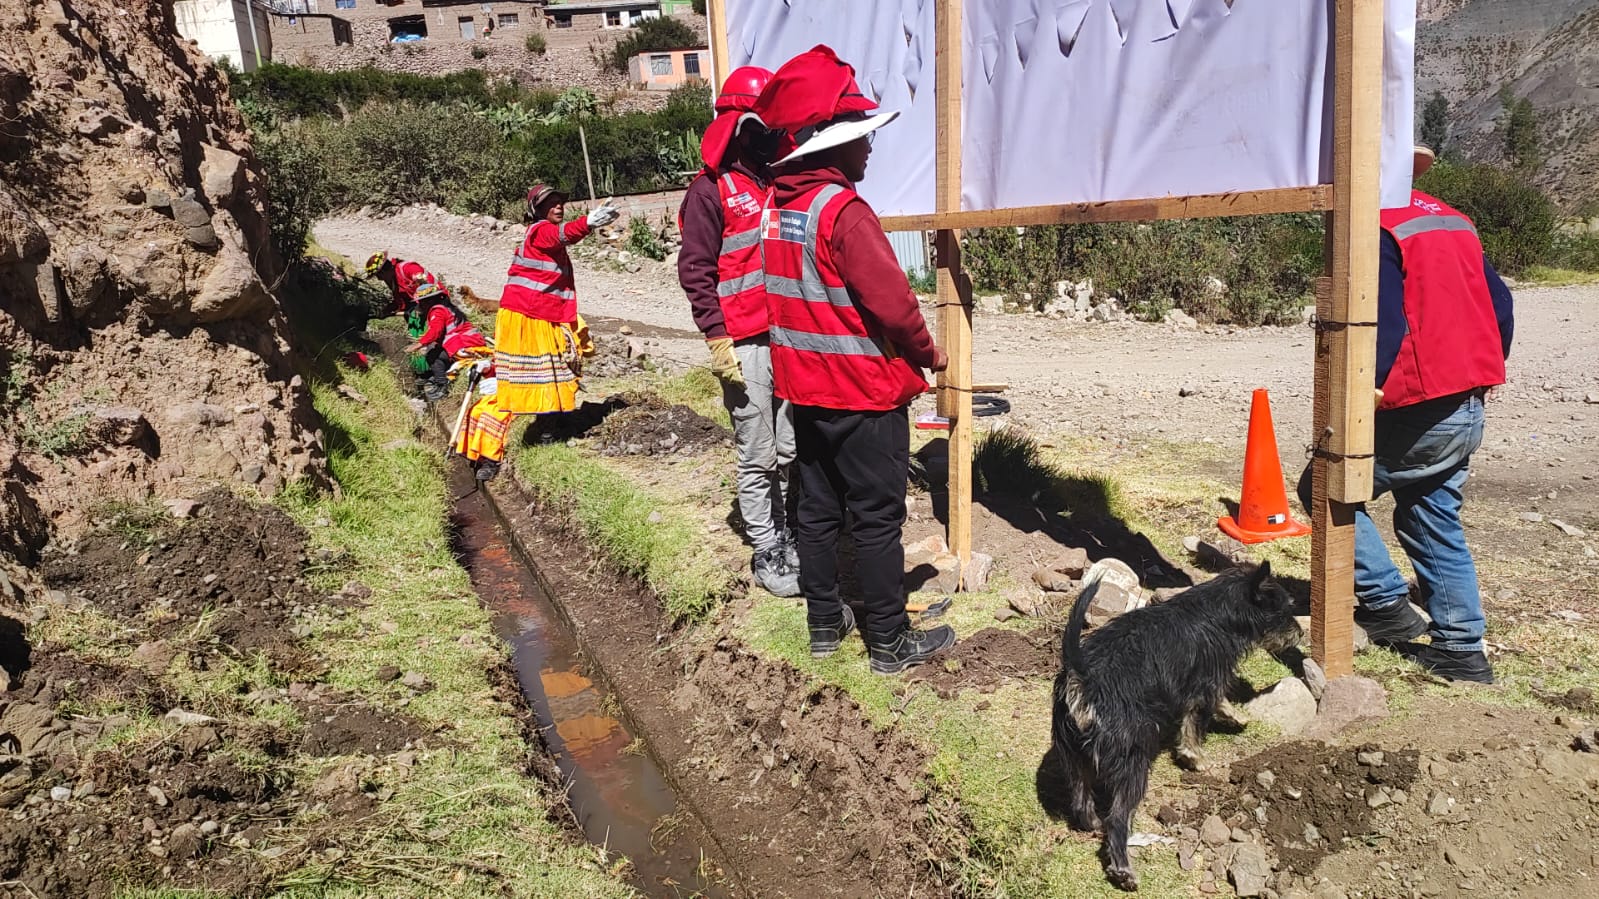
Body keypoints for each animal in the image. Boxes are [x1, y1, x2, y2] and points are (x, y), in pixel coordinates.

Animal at [1055, 559, 1304, 889]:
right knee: (1118, 818)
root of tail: (1081, 678)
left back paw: (1091, 823)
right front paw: (1197, 758)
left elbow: (1220, 700)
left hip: (1074, 760)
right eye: (1284, 610)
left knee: (1081, 800)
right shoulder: (1203, 686)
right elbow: (1196, 725)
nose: (1300, 634)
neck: (1217, 611)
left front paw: (1236, 715)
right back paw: (1123, 870)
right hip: (1133, 763)